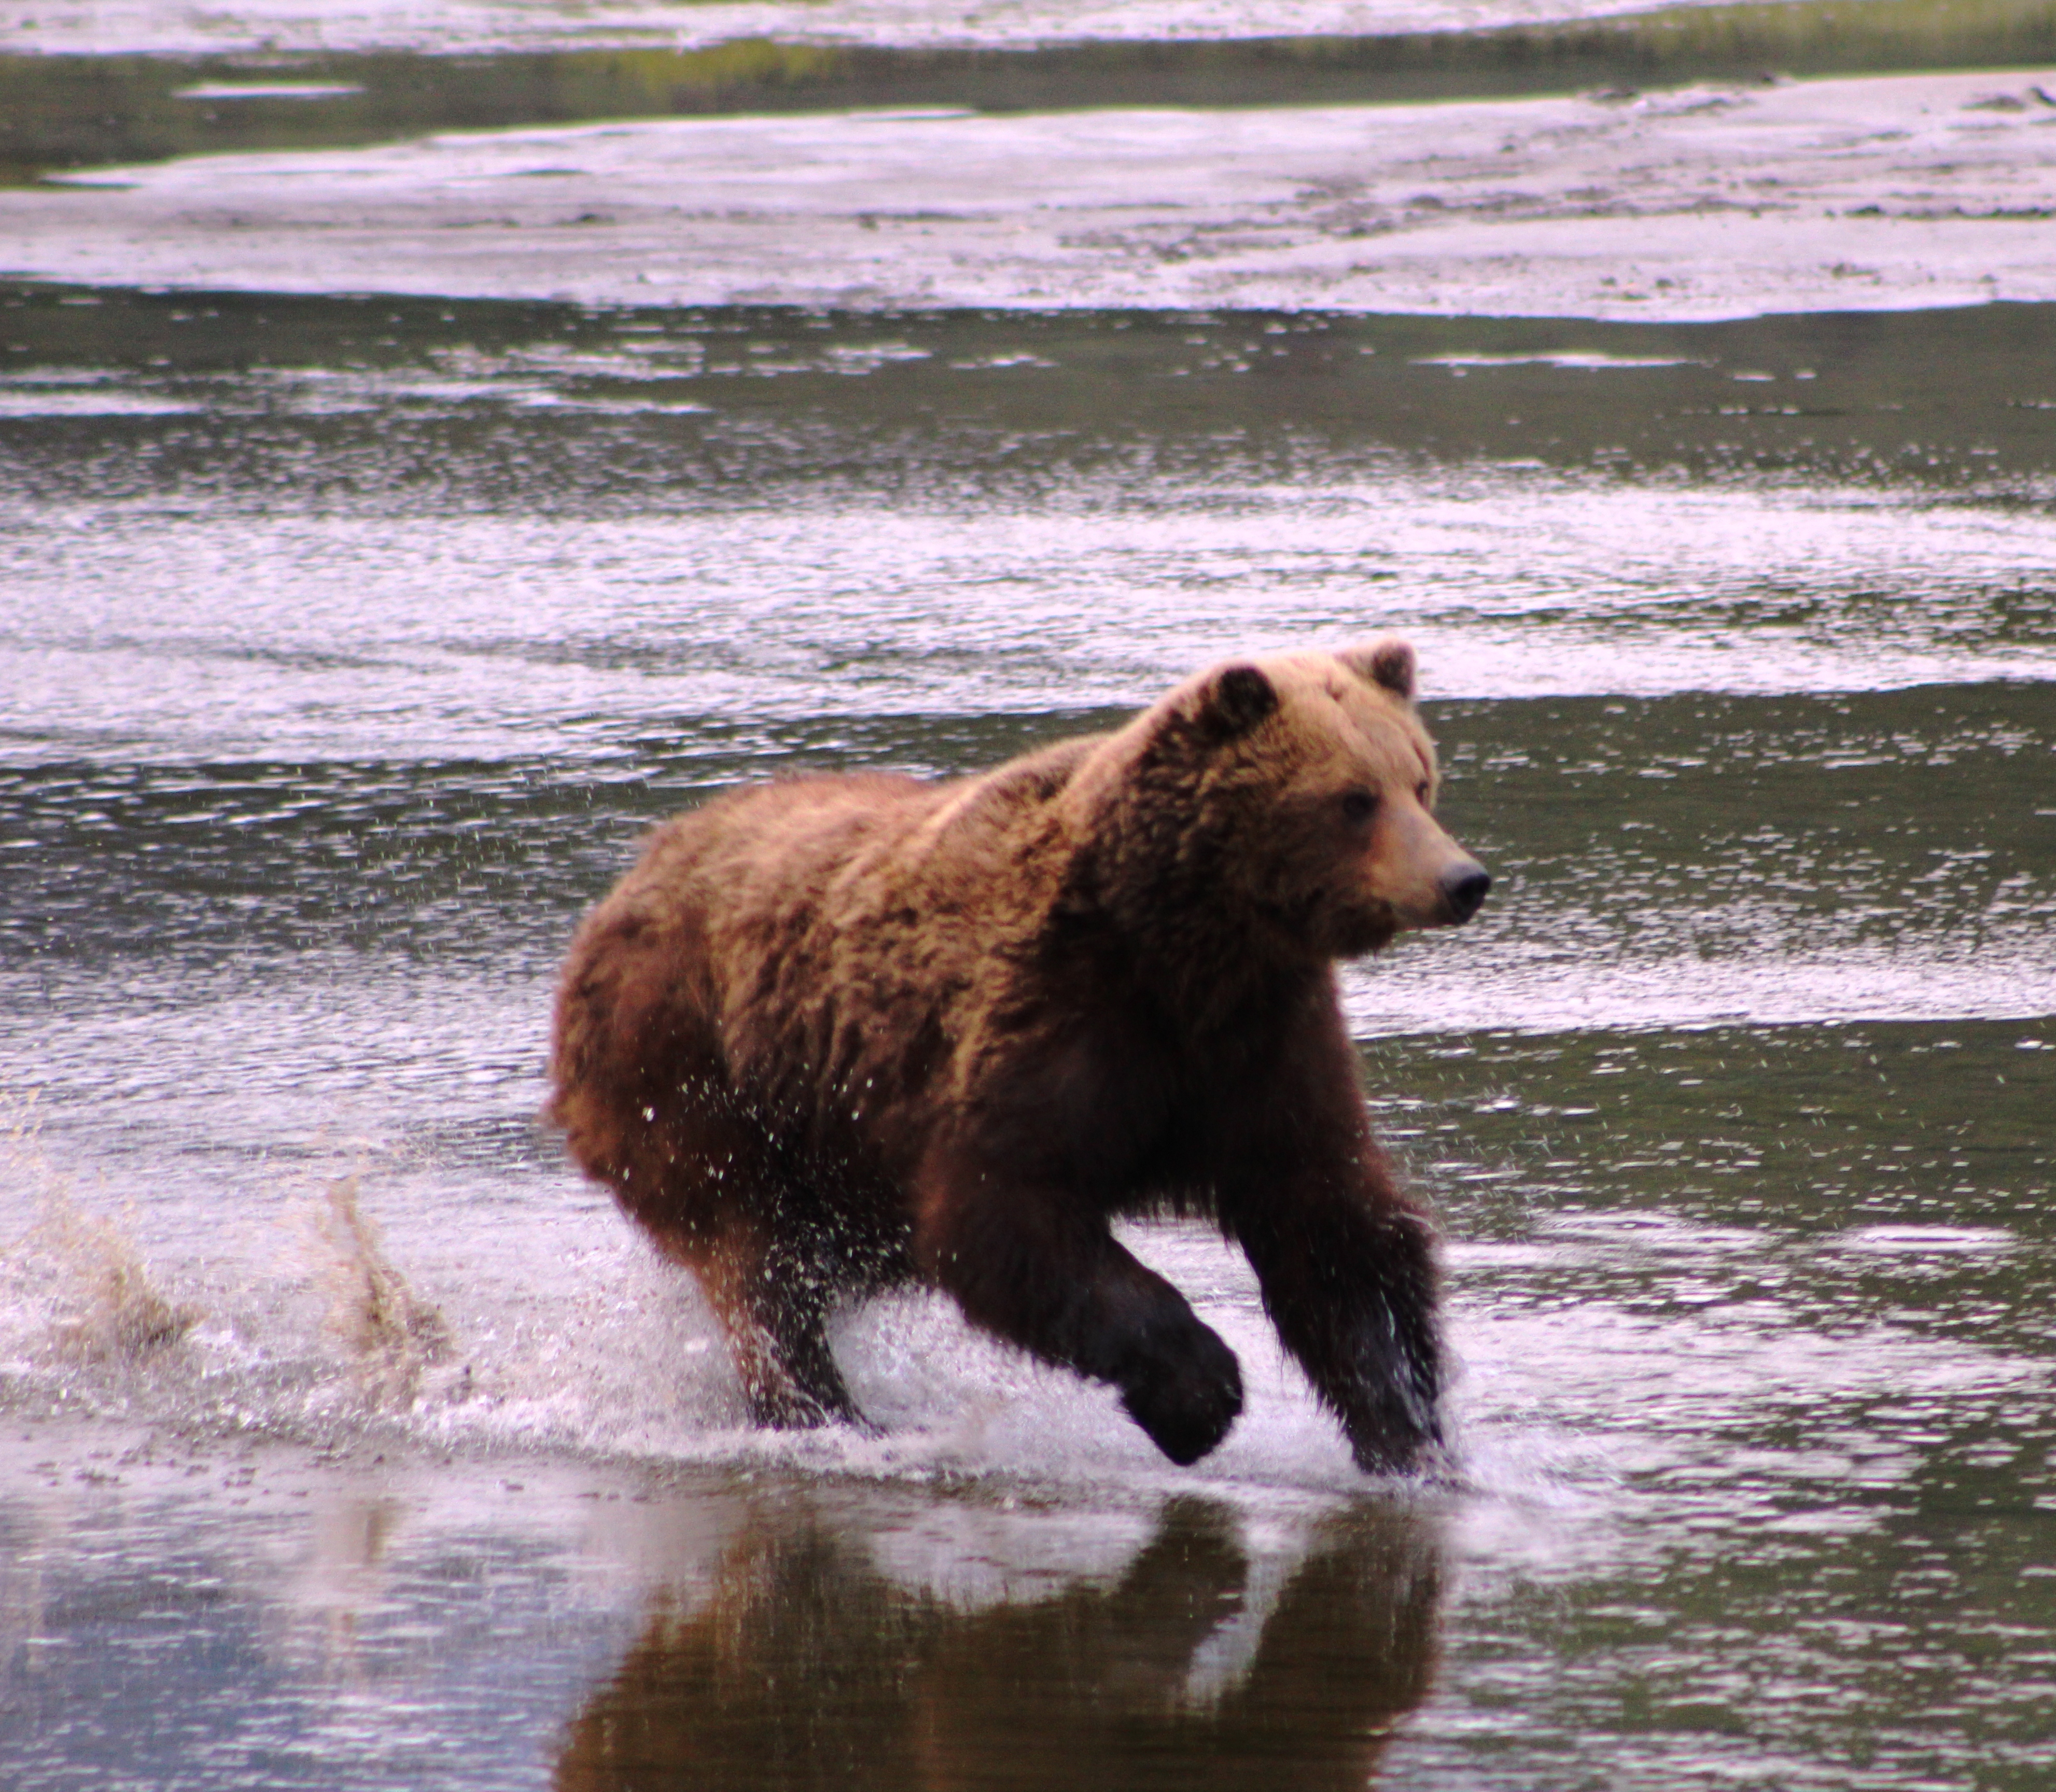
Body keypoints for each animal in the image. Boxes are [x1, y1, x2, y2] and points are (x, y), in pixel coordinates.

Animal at [548, 639, 1489, 1473]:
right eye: (1354, 799)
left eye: (1420, 778)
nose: (1462, 880)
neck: (1187, 943)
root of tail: (625, 884)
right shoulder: (1054, 1013)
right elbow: (1001, 1212)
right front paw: (1200, 1396)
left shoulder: (1259, 1047)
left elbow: (1331, 1227)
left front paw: (1408, 1432)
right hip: (693, 1074)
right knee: (756, 1260)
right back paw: (828, 1416)